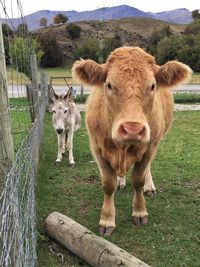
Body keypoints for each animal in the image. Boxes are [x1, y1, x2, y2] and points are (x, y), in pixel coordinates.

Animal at [72, 46, 192, 237]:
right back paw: (121, 181)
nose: (132, 129)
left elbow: (138, 180)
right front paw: (107, 220)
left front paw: (140, 212)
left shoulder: (150, 147)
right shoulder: (97, 149)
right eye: (109, 85)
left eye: (152, 86)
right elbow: (108, 184)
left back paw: (149, 187)